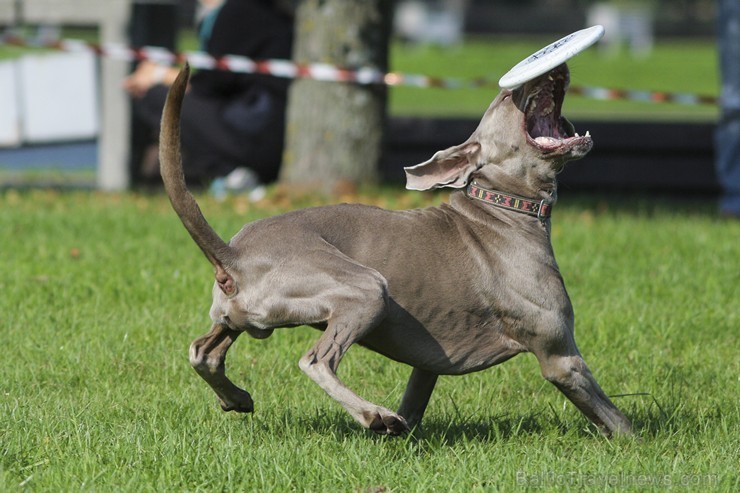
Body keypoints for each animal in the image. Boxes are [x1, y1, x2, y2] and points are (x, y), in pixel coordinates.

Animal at [160, 61, 632, 434]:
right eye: (507, 95)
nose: (553, 67)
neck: (501, 210)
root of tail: (233, 255)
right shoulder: (559, 353)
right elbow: (617, 419)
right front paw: (639, 447)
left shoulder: (429, 363)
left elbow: (417, 394)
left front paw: (407, 429)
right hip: (366, 288)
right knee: (315, 360)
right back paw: (374, 415)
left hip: (235, 316)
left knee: (203, 352)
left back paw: (236, 397)